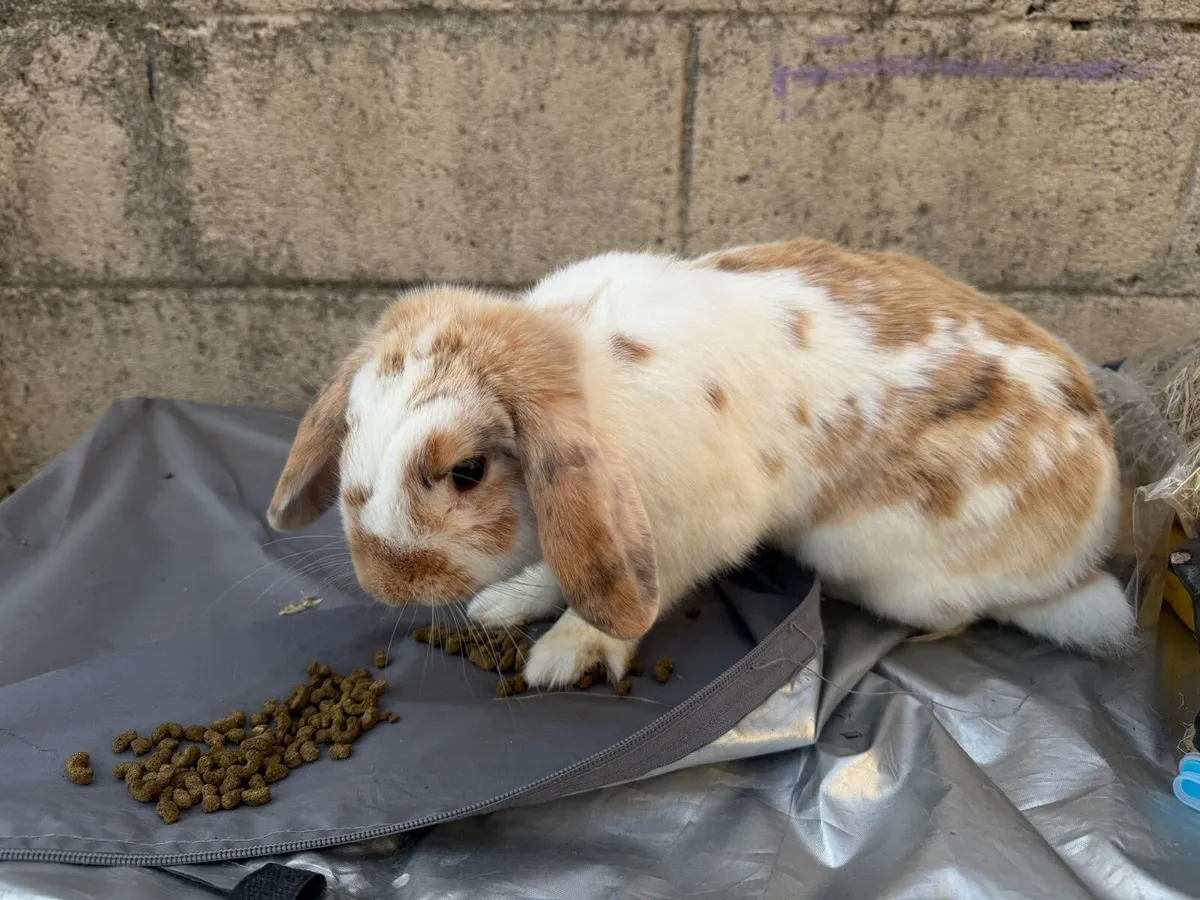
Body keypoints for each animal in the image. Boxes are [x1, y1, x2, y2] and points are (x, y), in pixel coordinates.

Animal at [267, 237, 1135, 689]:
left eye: (467, 472)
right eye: (351, 427)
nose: (383, 580)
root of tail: (1094, 528)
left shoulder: (686, 530)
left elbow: (625, 602)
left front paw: (567, 654)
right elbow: (563, 569)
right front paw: (507, 602)